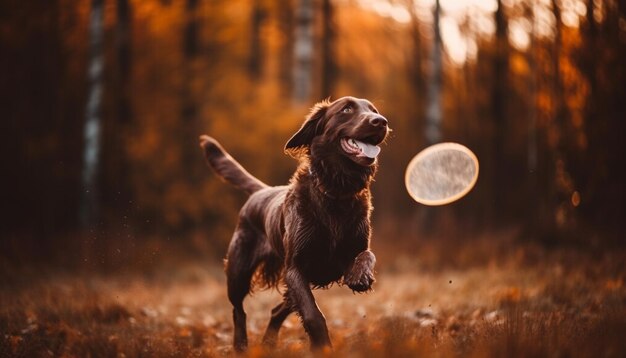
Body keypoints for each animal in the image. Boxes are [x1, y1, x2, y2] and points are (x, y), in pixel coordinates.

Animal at [200, 96, 388, 352]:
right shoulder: (295, 268)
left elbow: (368, 255)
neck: (336, 193)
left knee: (276, 310)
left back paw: (268, 343)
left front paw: (361, 277)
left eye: (373, 110)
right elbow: (313, 315)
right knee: (238, 310)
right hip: (238, 272)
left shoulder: (351, 250)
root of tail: (261, 191)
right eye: (347, 109)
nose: (381, 121)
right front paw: (323, 347)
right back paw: (241, 345)